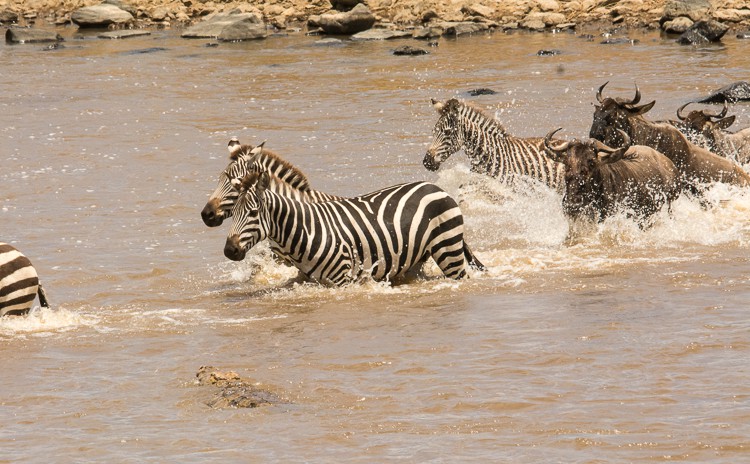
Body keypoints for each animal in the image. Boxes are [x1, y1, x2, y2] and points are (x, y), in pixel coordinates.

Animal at [223, 171, 484, 286]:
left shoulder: (343, 279)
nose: (229, 251)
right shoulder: (310, 280)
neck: (306, 230)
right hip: (417, 258)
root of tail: (435, 187)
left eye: (253, 213)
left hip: (448, 250)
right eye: (232, 214)